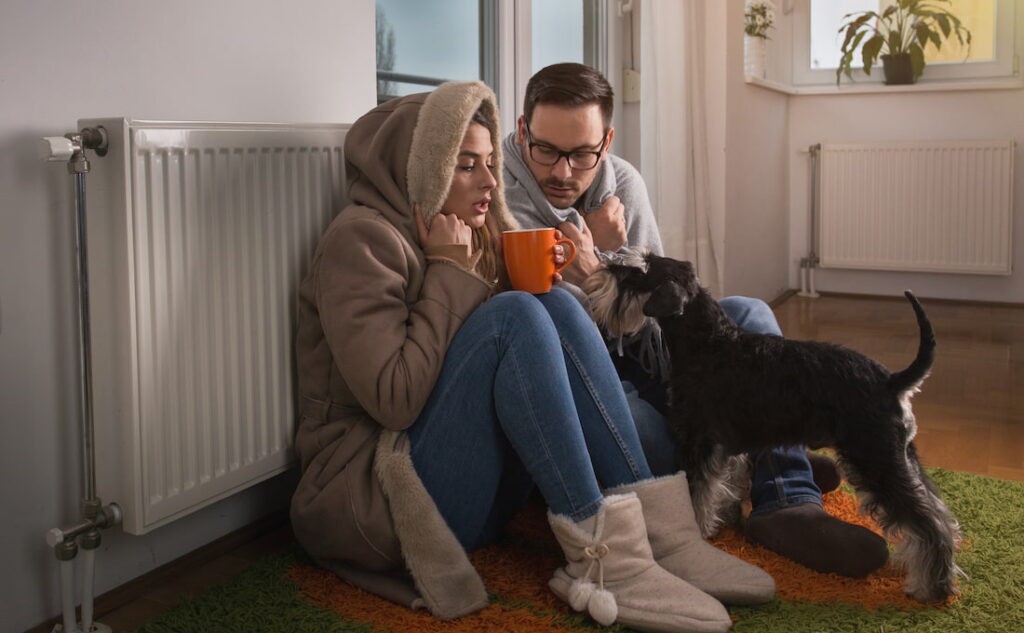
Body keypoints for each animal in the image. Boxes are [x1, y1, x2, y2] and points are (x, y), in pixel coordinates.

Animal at [589, 250, 962, 602]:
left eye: (639, 269)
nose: (602, 266)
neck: (708, 341)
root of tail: (892, 381)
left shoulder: (699, 443)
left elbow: (696, 496)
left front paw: (698, 534)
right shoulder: (725, 450)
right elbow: (720, 489)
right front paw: (721, 522)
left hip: (875, 459)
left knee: (928, 523)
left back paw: (933, 588)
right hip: (900, 456)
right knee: (938, 510)